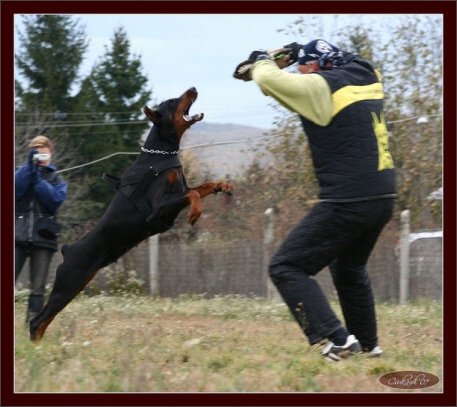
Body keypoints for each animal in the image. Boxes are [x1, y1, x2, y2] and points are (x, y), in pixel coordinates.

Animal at [30, 87, 233, 342]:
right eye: (173, 101)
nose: (193, 88)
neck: (159, 154)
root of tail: (67, 250)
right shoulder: (158, 209)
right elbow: (193, 195)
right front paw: (196, 212)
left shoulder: (177, 196)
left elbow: (202, 187)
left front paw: (222, 186)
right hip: (67, 283)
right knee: (37, 320)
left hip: (76, 285)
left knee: (44, 320)